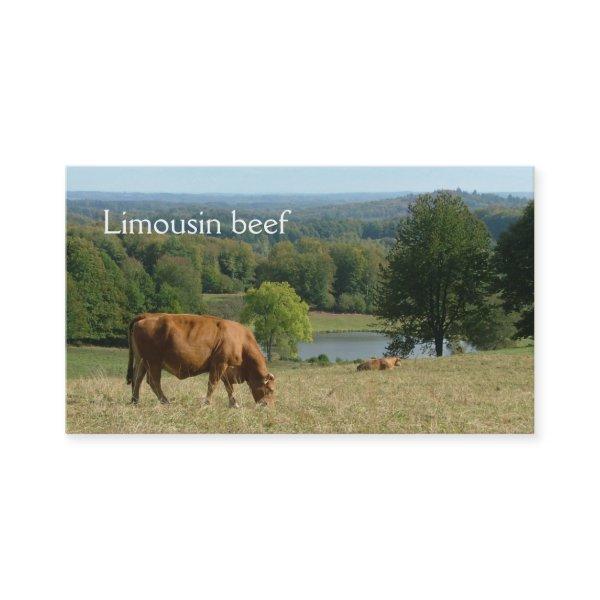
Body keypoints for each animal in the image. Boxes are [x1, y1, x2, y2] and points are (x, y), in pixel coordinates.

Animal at [127, 314, 278, 408]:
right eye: (270, 389)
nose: (269, 406)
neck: (242, 343)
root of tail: (146, 316)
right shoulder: (219, 364)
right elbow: (212, 384)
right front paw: (207, 403)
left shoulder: (226, 369)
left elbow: (229, 387)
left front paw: (234, 404)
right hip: (153, 362)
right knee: (153, 382)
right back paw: (165, 401)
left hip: (143, 361)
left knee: (137, 379)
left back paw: (135, 401)